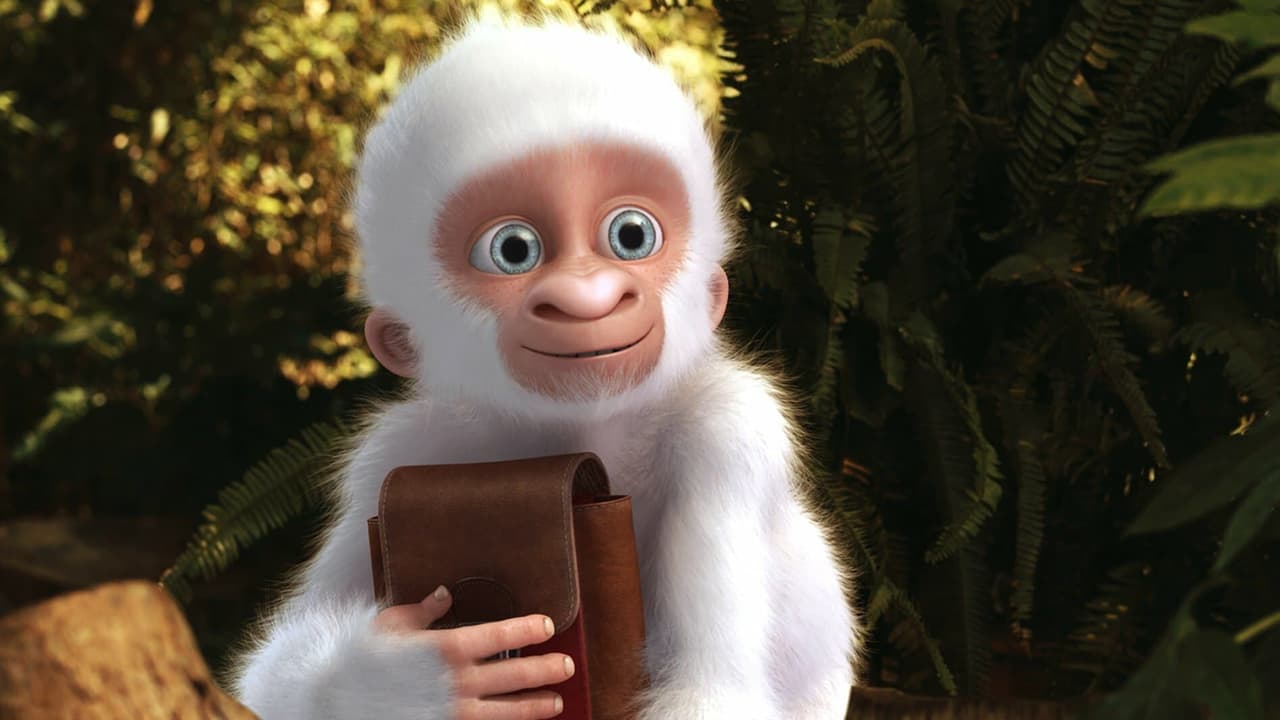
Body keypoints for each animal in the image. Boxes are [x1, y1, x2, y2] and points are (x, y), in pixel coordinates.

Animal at [231, 15, 858, 720]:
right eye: (513, 249)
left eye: (631, 235)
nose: (588, 298)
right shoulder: (390, 460)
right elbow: (267, 681)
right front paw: (410, 674)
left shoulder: (728, 433)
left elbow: (715, 691)